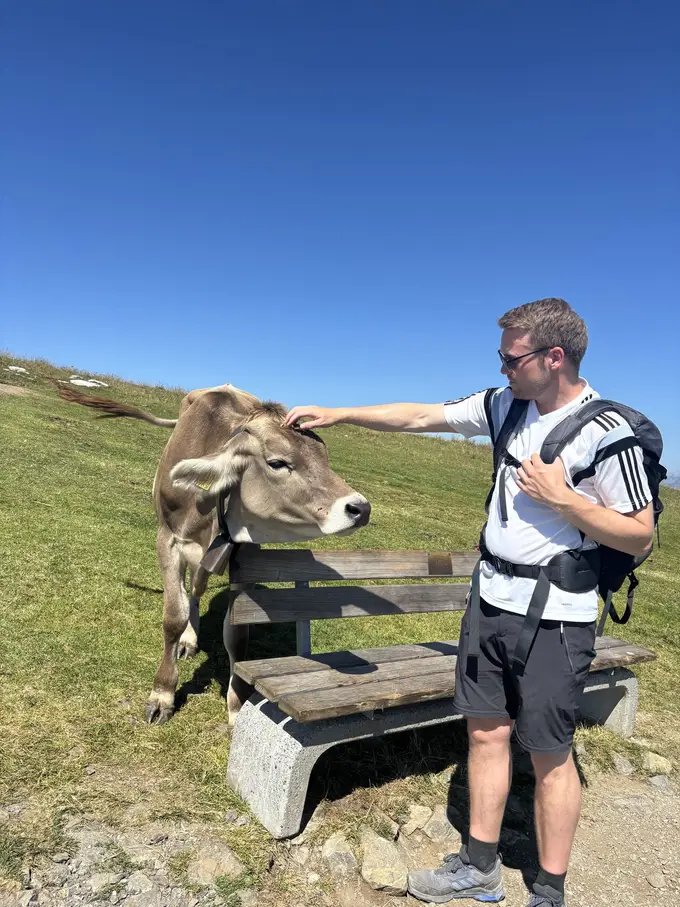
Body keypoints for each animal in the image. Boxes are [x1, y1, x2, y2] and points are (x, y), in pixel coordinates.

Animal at [58, 382, 371, 724]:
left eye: (325, 458)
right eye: (277, 462)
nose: (360, 508)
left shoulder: (246, 557)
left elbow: (237, 634)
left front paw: (236, 706)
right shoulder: (167, 541)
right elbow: (173, 616)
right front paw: (162, 693)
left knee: (197, 588)